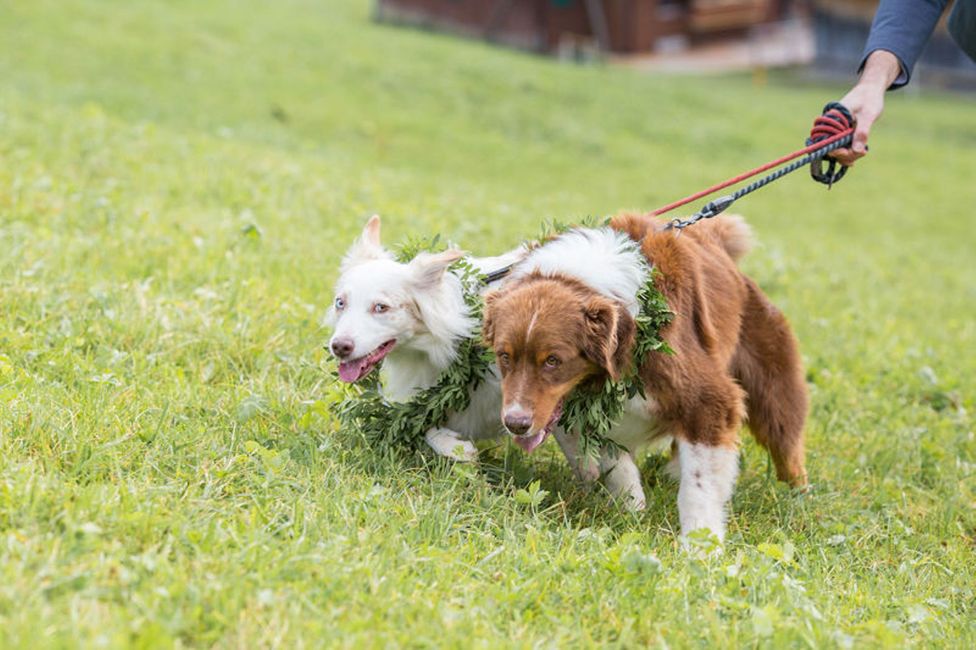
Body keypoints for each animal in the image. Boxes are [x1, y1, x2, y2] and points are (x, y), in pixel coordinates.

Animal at [482, 214, 808, 540]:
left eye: (553, 361)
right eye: (504, 356)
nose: (516, 423)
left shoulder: (708, 398)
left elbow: (699, 484)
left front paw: (701, 543)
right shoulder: (595, 413)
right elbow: (616, 465)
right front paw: (632, 513)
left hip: (772, 381)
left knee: (786, 441)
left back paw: (798, 497)